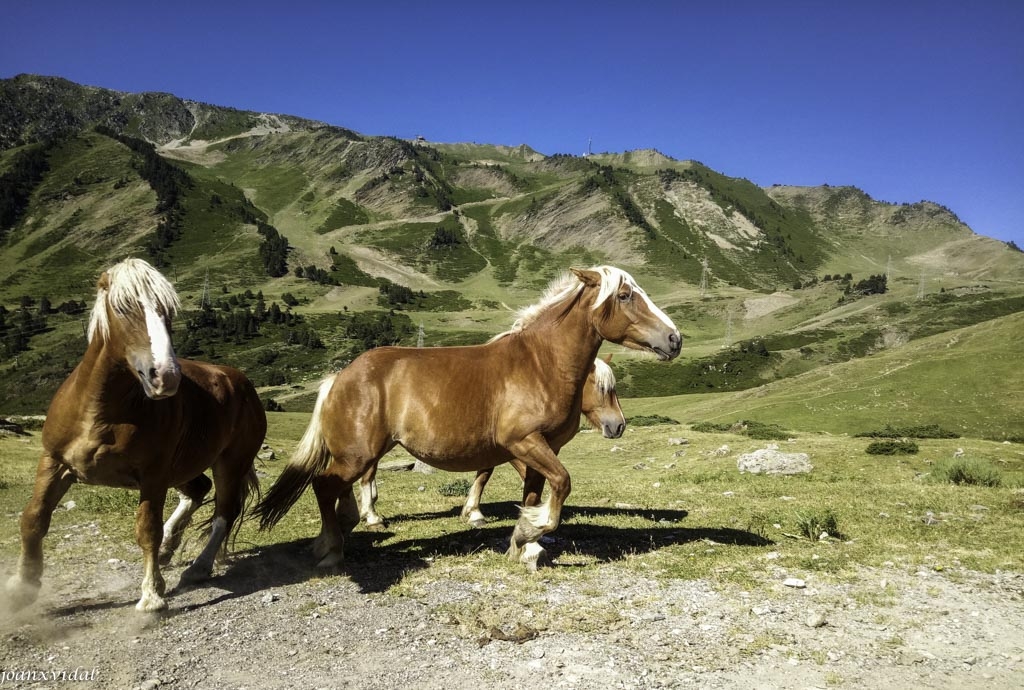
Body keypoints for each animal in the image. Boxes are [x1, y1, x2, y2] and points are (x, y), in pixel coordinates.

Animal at [4, 256, 268, 606]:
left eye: (169, 311)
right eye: (123, 307)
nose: (166, 376)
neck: (99, 412)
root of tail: (242, 382)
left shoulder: (153, 476)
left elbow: (147, 530)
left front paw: (152, 596)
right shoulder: (54, 462)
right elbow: (33, 519)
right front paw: (22, 587)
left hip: (230, 462)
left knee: (224, 511)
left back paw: (198, 567)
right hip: (184, 466)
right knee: (198, 490)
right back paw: (170, 547)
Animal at [251, 264, 675, 569]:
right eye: (625, 295)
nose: (674, 339)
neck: (539, 365)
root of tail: (340, 376)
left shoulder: (537, 450)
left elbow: (534, 492)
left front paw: (524, 543)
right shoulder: (522, 444)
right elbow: (561, 484)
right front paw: (526, 534)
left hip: (360, 453)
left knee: (337, 490)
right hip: (356, 454)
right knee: (325, 486)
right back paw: (334, 548)